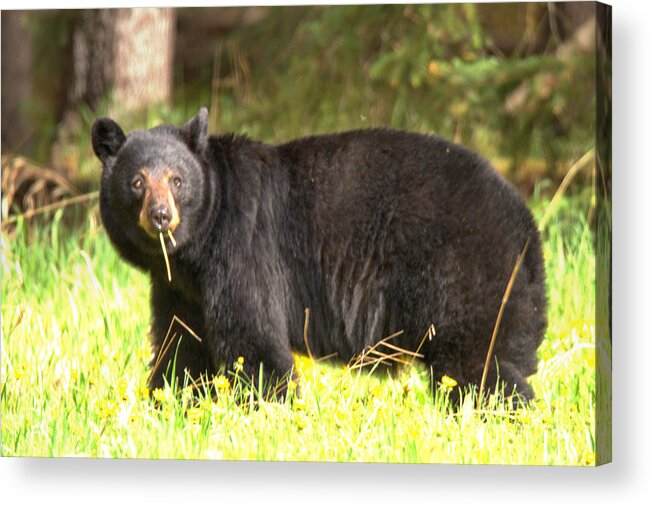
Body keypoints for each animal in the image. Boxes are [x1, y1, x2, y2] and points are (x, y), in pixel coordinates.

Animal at [94, 108, 548, 402]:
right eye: (137, 181)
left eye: (177, 179)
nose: (160, 215)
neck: (196, 249)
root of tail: (525, 222)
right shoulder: (179, 287)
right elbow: (180, 345)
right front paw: (168, 404)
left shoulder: (244, 249)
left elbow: (253, 337)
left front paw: (269, 409)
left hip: (462, 272)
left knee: (477, 363)